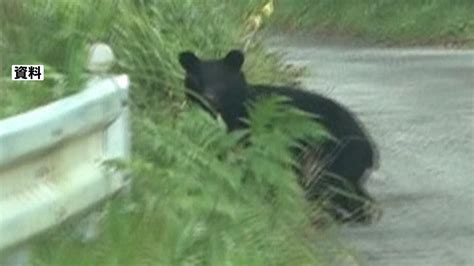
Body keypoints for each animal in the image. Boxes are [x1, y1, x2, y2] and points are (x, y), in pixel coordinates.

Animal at [178, 50, 382, 224]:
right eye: (198, 81)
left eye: (222, 81)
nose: (209, 98)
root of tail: (369, 147)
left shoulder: (253, 129)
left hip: (334, 155)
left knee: (332, 187)